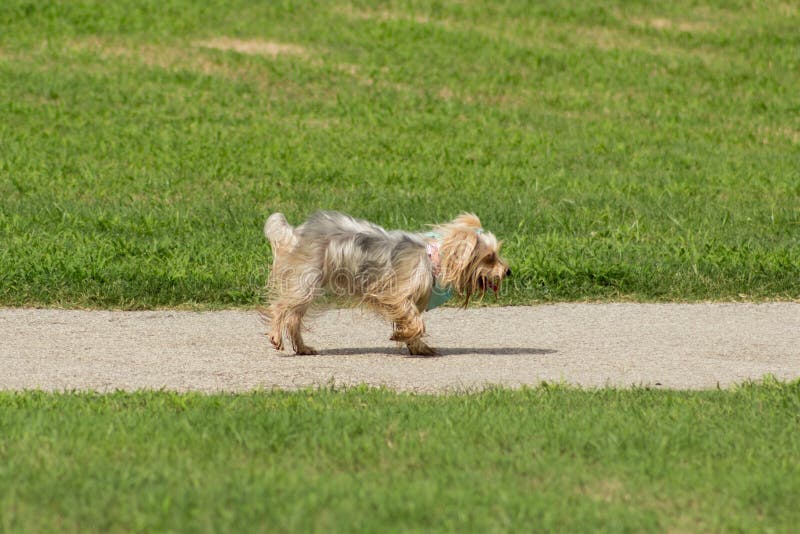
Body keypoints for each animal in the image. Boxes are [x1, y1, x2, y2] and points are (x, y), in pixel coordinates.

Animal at [264, 211, 512, 358]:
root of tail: (296, 234)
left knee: (294, 317)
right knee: (280, 307)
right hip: (307, 278)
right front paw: (400, 336)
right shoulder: (396, 294)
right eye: (489, 257)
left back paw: (303, 348)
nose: (508, 271)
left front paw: (417, 346)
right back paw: (276, 336)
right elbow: (416, 322)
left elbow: (413, 323)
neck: (434, 259)